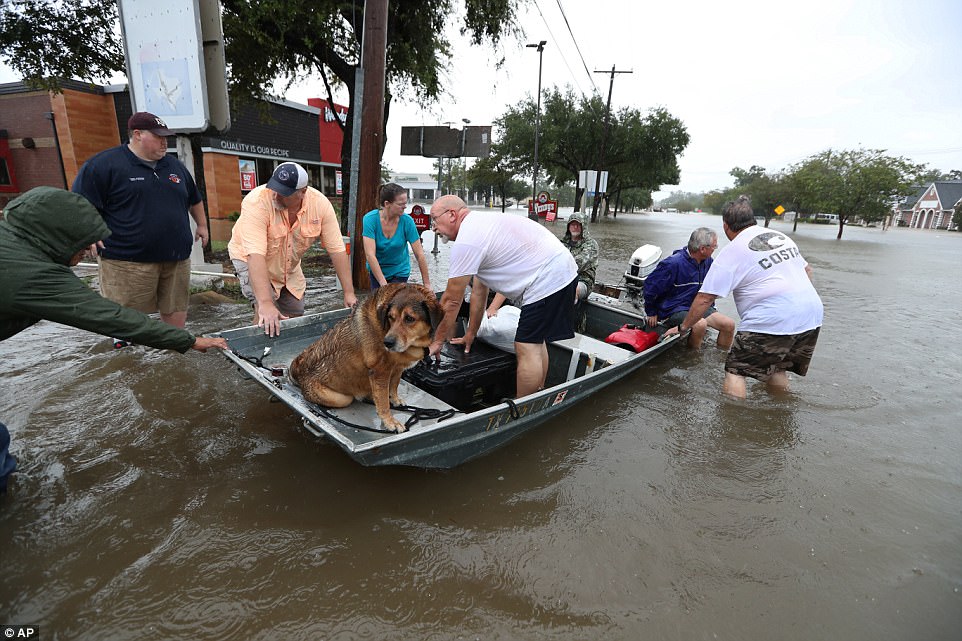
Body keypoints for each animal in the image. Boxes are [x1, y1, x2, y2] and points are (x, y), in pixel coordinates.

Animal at [288, 282, 442, 432]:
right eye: (390, 317)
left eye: (410, 318)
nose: (387, 343)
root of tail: (299, 375)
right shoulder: (380, 372)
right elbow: (383, 402)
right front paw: (389, 421)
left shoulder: (397, 369)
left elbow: (394, 385)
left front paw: (395, 399)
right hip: (341, 398)